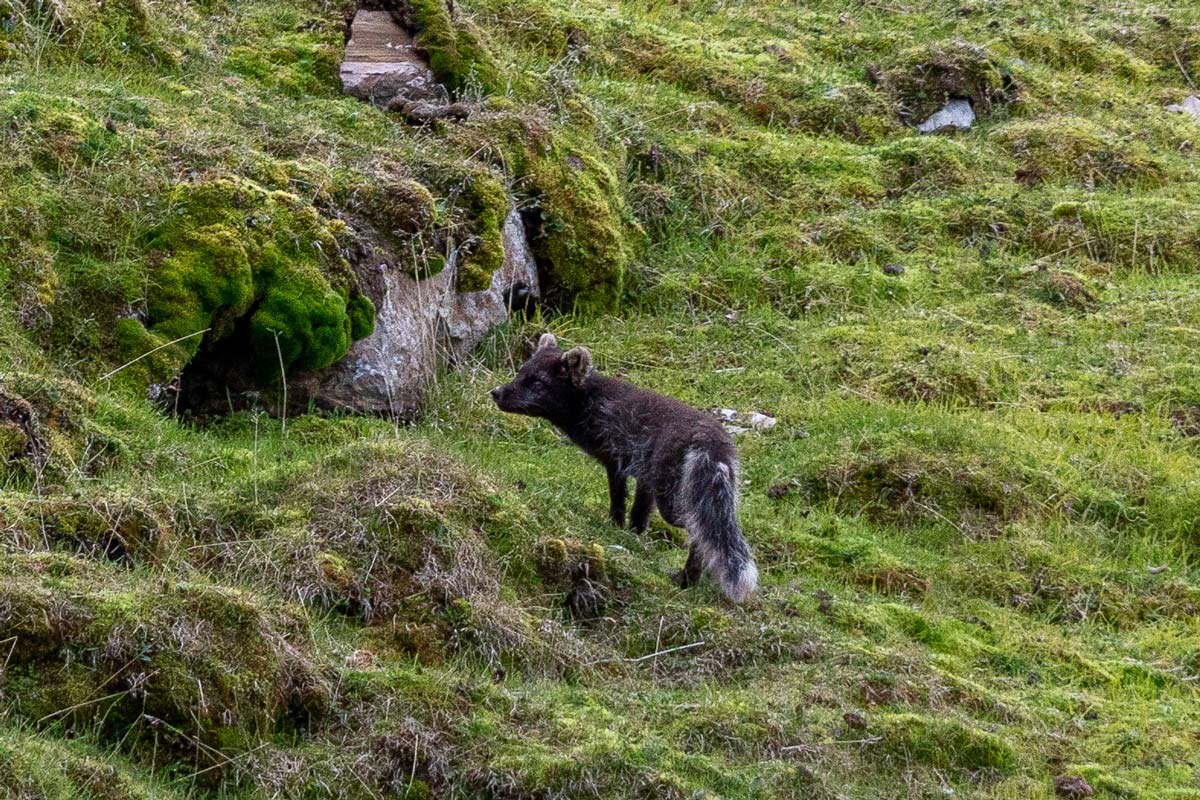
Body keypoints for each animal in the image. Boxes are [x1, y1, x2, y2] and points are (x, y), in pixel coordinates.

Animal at [490, 333, 758, 602]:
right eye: (521, 371)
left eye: (537, 382)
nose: (496, 392)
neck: (597, 402)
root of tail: (713, 444)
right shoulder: (644, 478)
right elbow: (639, 512)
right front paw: (633, 535)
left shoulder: (617, 460)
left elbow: (618, 499)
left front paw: (615, 526)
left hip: (673, 499)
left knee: (699, 532)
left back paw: (687, 578)